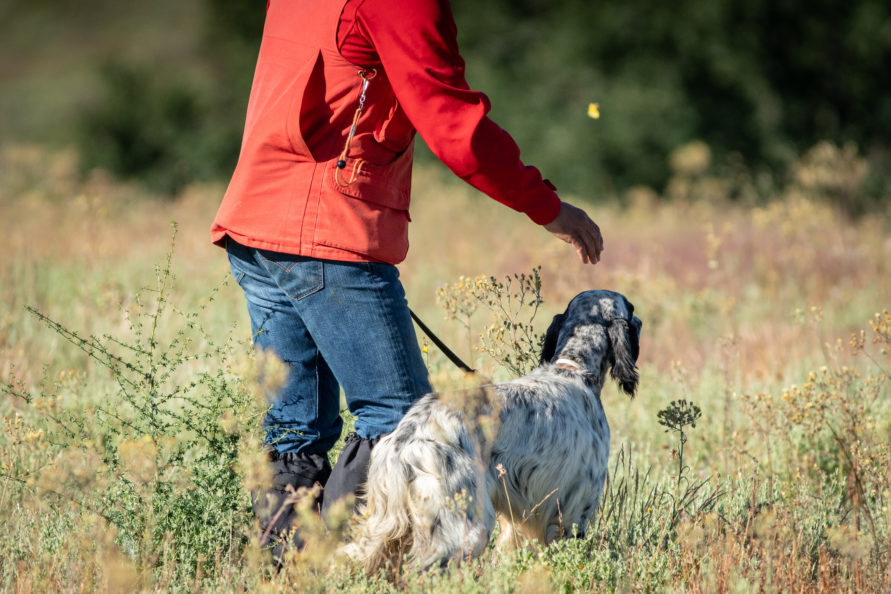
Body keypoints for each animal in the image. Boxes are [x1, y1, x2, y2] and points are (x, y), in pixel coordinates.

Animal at [348, 290, 640, 572]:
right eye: (631, 308)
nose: (639, 320)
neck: (572, 370)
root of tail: (404, 440)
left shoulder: (521, 516)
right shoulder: (575, 508)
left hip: (382, 523)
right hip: (465, 528)